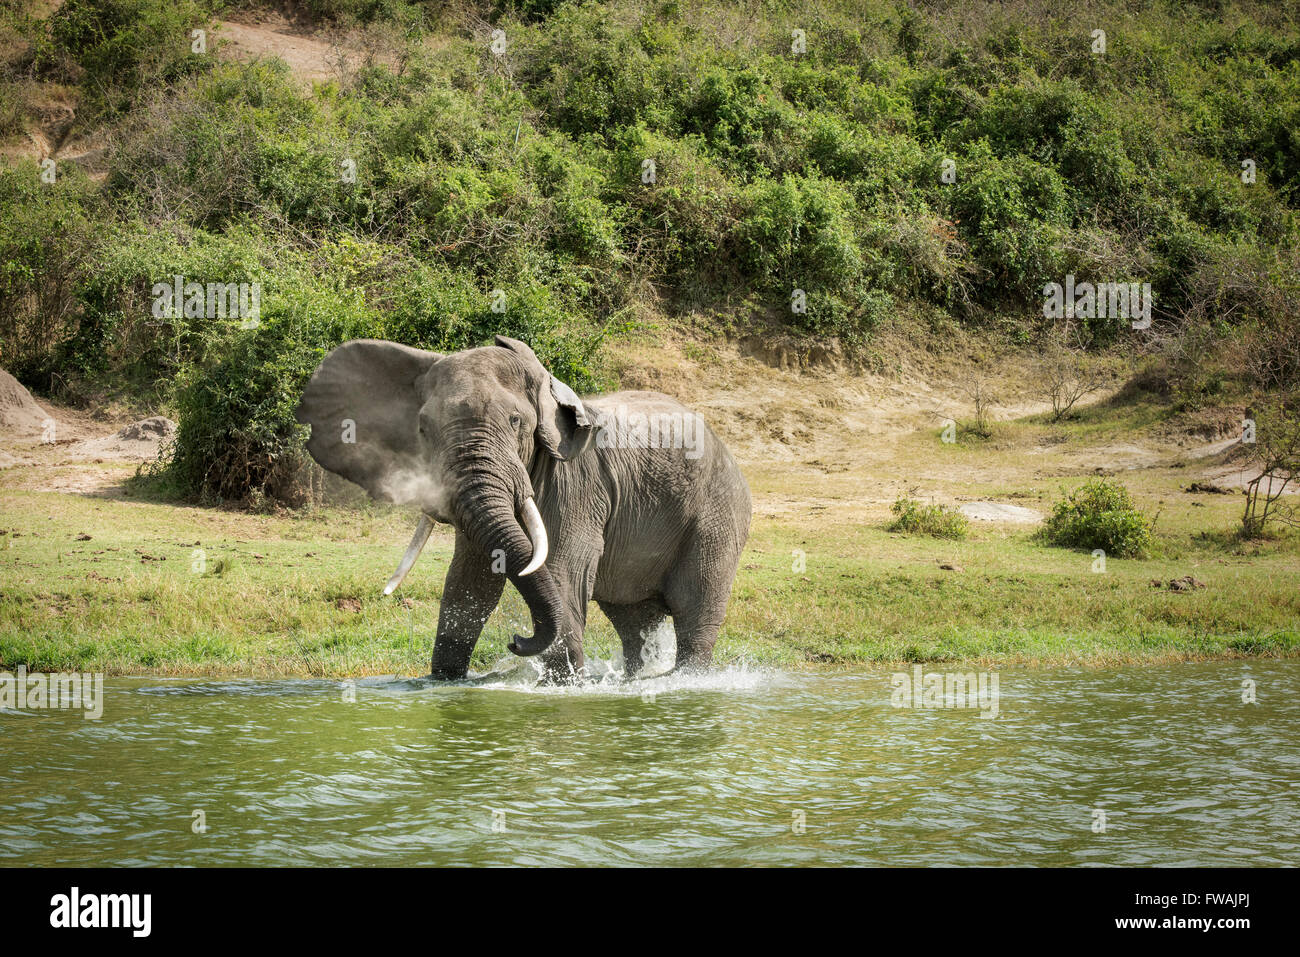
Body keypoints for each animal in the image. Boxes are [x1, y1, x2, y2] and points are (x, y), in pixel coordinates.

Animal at [295, 335, 754, 681]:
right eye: (423, 429)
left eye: (517, 423)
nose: (516, 641)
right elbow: (470, 584)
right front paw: (444, 683)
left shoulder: (577, 485)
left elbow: (562, 571)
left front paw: (563, 688)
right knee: (634, 620)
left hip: (717, 514)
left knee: (695, 611)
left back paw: (686, 680)